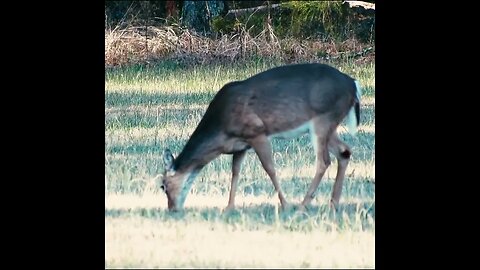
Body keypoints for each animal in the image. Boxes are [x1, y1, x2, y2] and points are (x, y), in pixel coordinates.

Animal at [160, 62, 360, 211]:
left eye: (163, 186)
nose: (172, 209)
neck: (221, 131)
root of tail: (353, 84)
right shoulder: (240, 146)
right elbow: (235, 172)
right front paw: (229, 207)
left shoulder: (257, 132)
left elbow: (270, 169)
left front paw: (285, 205)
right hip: (329, 125)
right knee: (344, 151)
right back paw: (333, 204)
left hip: (323, 119)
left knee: (324, 161)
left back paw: (303, 205)